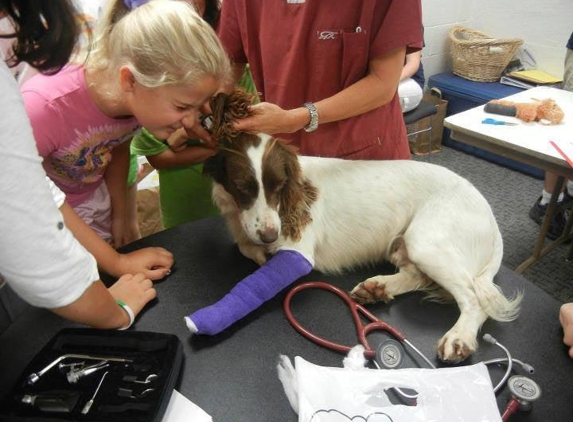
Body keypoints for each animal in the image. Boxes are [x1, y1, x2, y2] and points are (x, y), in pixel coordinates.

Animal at [203, 91, 520, 362]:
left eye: (280, 186)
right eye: (243, 188)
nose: (270, 235)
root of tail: (490, 216)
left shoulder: (297, 252)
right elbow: (246, 247)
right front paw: (256, 247)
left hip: (425, 241)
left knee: (474, 298)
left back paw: (459, 337)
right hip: (405, 247)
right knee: (417, 276)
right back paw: (377, 288)